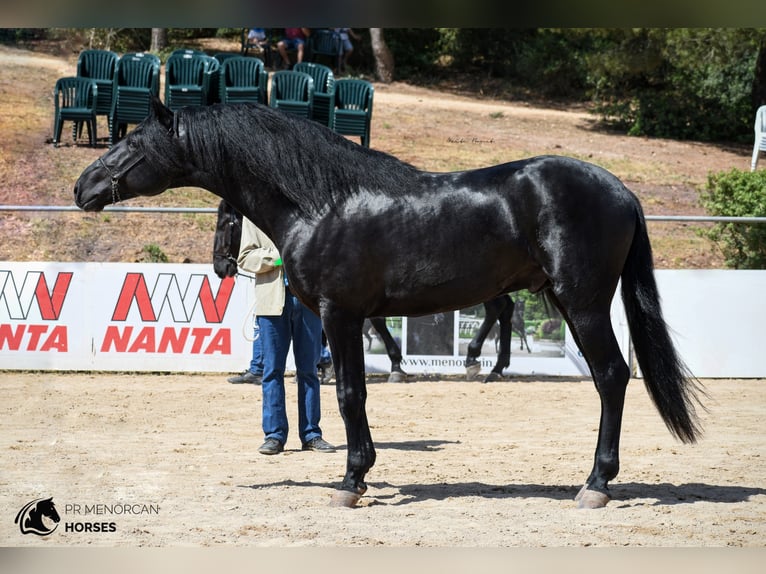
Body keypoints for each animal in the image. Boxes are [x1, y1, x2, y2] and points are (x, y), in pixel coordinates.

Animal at [75, 101, 704, 510]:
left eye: (132, 143)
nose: (83, 188)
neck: (320, 202)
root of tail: (620, 189)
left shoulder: (340, 314)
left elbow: (350, 395)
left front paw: (352, 481)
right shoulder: (345, 317)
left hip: (584, 302)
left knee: (612, 376)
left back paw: (596, 484)